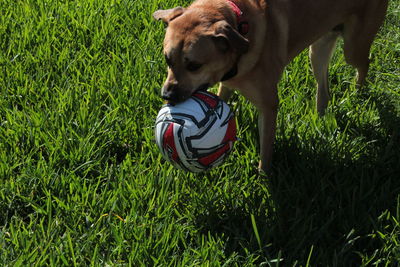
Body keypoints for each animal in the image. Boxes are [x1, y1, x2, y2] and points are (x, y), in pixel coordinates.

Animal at [152, 0, 388, 172]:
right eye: (167, 59)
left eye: (194, 65)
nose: (166, 96)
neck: (240, 27)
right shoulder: (226, 84)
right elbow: (222, 97)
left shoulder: (268, 106)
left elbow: (266, 149)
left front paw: (264, 179)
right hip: (318, 49)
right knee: (325, 88)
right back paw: (321, 116)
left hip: (353, 47)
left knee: (364, 62)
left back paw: (358, 93)